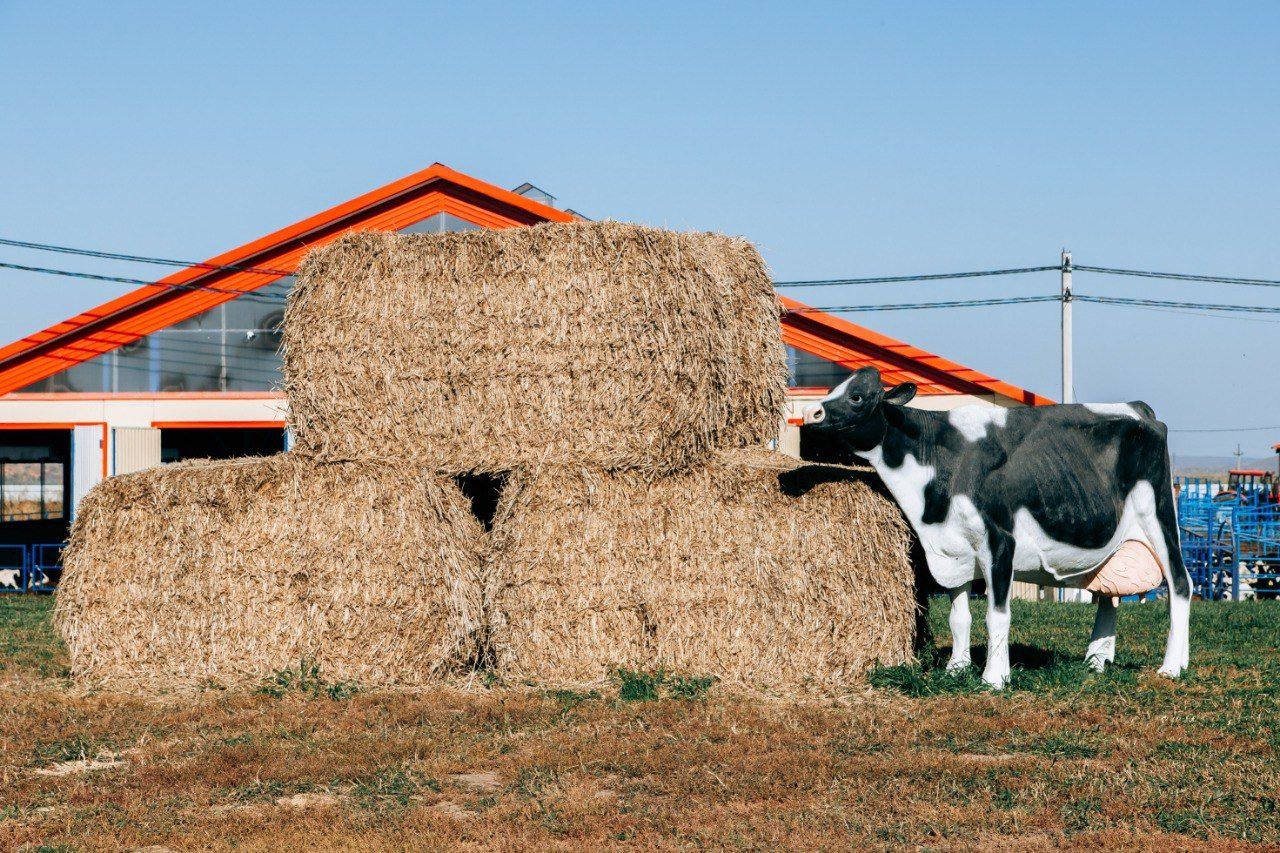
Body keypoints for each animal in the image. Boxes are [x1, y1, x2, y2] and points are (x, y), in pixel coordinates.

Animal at [803, 363, 1192, 686]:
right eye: (834, 387)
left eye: (856, 396)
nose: (811, 411)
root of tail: (1138, 408)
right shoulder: (952, 550)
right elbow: (959, 617)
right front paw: (957, 668)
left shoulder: (1000, 540)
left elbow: (997, 615)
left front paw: (994, 677)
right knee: (1109, 594)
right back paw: (1096, 662)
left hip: (1158, 515)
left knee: (1180, 584)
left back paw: (1172, 667)